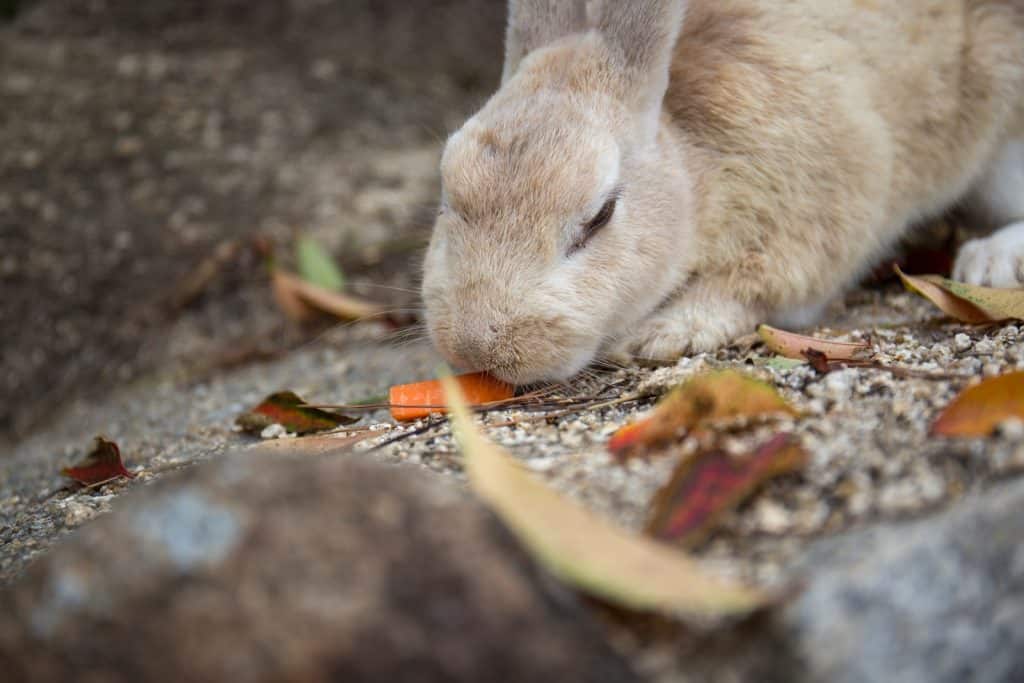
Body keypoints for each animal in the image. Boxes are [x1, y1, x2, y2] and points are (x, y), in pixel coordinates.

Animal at [419, 0, 1024, 385]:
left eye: (600, 216)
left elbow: (750, 288)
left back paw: (989, 262)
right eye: (448, 196)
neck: (694, 176)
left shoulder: (810, 225)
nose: (476, 348)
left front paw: (665, 334)